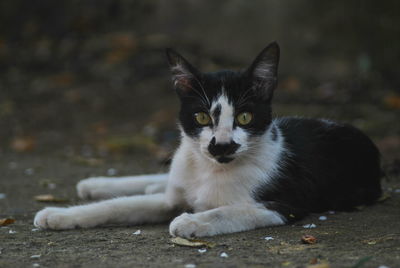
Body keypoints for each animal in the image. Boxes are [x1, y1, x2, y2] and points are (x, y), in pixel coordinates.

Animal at [33, 43, 382, 238]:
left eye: (245, 117)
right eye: (201, 117)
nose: (222, 145)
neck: (208, 172)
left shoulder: (287, 204)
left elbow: (230, 211)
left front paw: (191, 222)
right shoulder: (170, 200)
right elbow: (116, 207)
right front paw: (60, 216)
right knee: (157, 183)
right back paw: (96, 184)